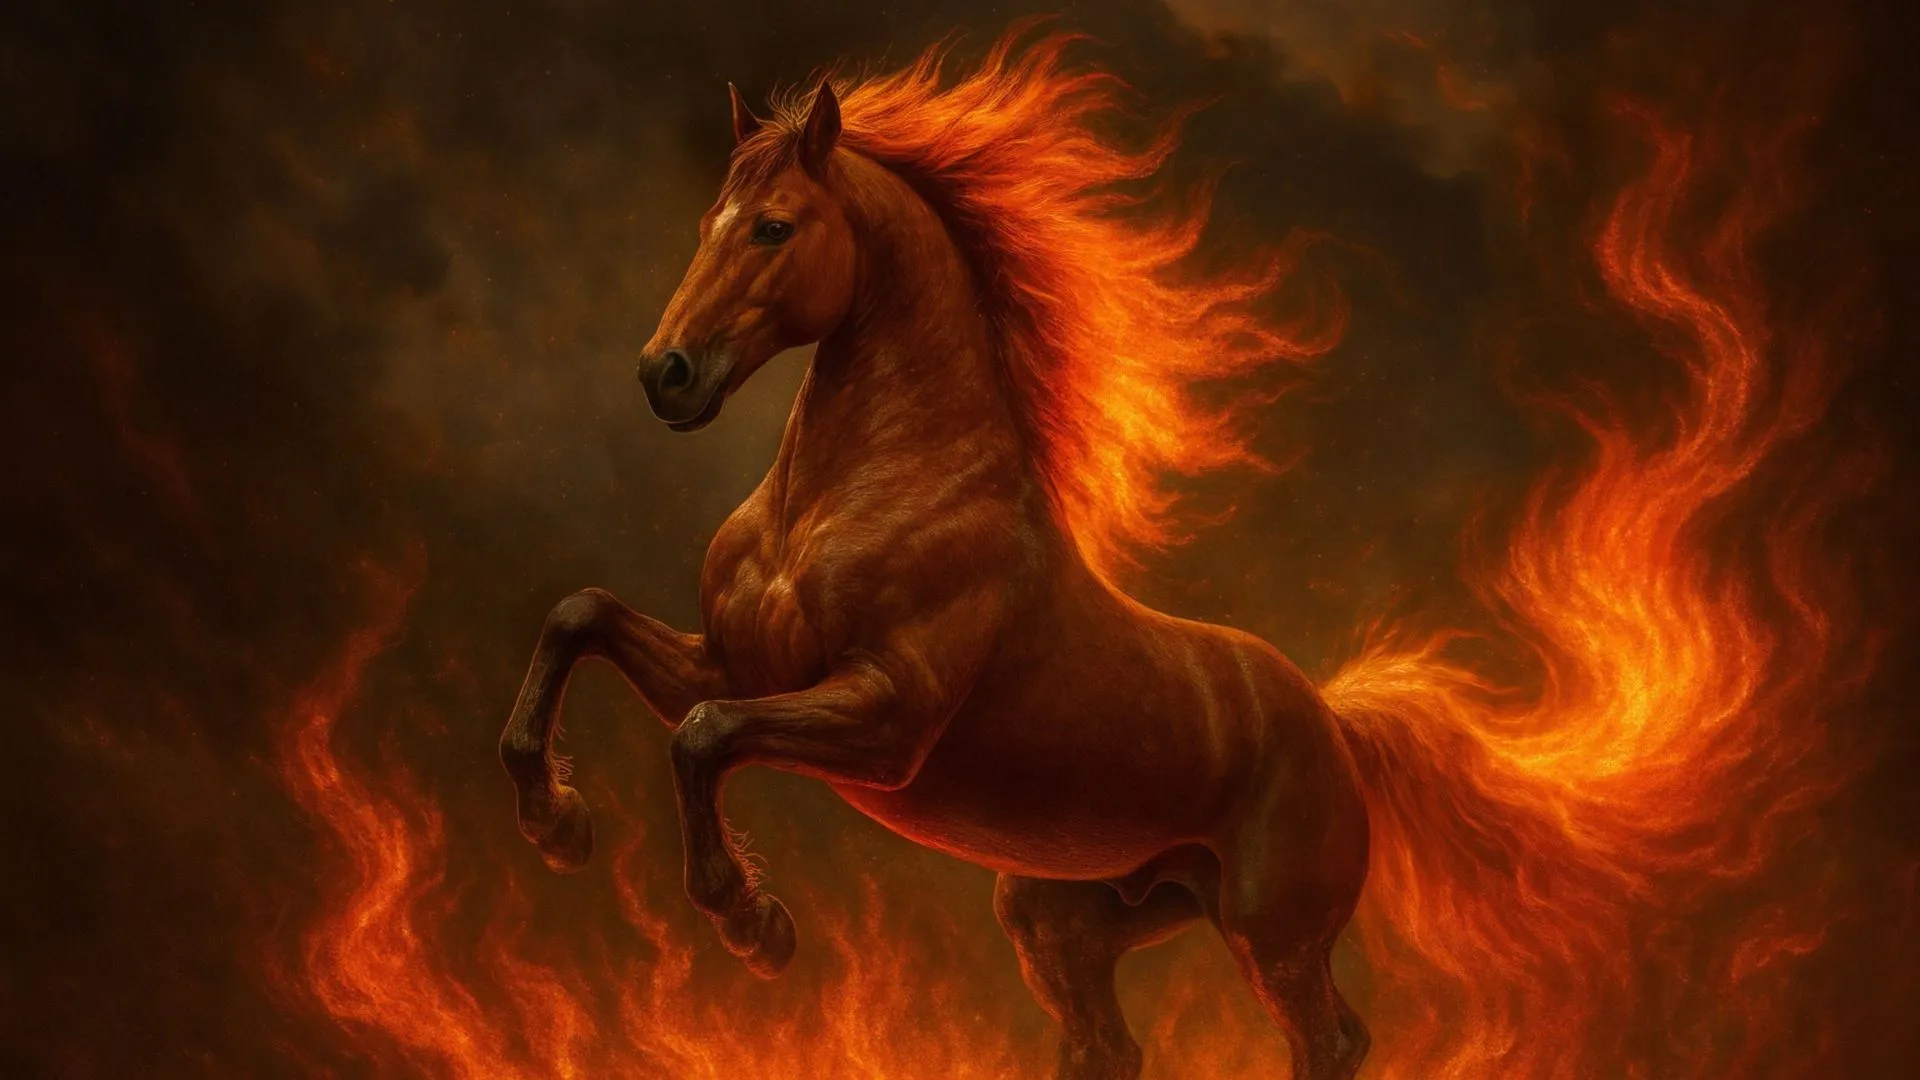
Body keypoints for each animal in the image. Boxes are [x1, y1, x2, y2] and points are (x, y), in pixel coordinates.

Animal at [499, 37, 1373, 1080]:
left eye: (773, 228)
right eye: (707, 223)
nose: (663, 374)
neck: (835, 502)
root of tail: (1334, 725)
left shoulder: (887, 718)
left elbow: (703, 736)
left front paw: (754, 923)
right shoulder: (732, 666)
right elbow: (582, 617)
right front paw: (556, 822)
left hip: (1272, 938)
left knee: (1329, 1040)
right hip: (1063, 918)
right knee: (1111, 1045)